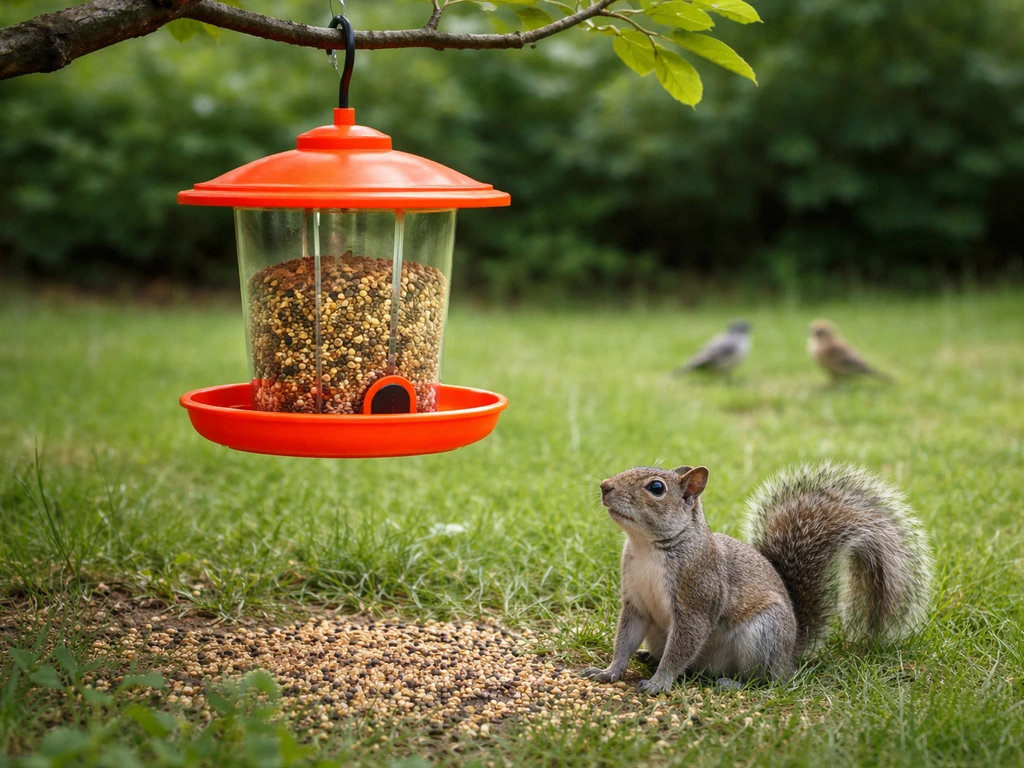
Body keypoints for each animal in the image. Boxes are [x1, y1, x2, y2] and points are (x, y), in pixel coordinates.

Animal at [582, 462, 933, 694]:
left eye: (656, 488)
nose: (604, 486)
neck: (647, 548)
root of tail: (789, 655)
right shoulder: (636, 602)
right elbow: (625, 640)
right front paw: (609, 671)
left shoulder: (698, 598)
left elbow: (682, 646)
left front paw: (659, 682)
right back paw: (648, 655)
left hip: (762, 636)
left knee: (766, 680)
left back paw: (732, 683)